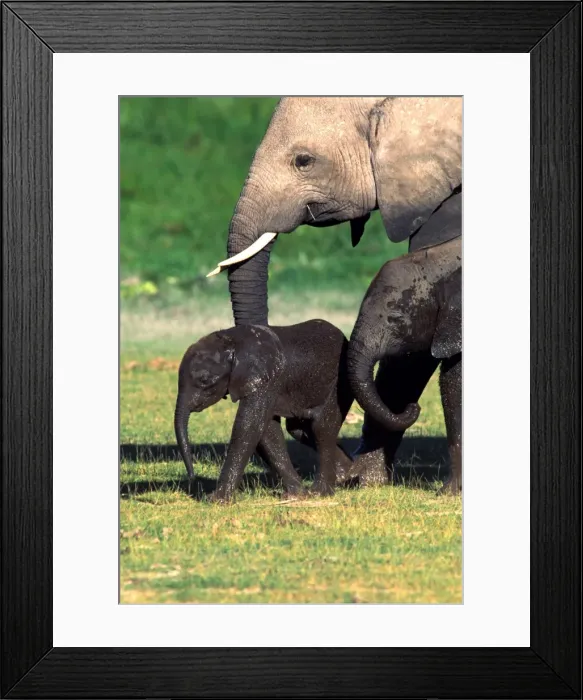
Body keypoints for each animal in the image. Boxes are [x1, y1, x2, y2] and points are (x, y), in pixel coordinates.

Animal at [174, 320, 378, 502]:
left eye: (204, 380)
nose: (192, 477)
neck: (233, 340)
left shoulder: (267, 380)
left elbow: (248, 426)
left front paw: (216, 500)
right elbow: (266, 429)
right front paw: (296, 495)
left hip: (339, 383)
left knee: (321, 429)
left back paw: (321, 492)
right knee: (299, 430)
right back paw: (349, 476)